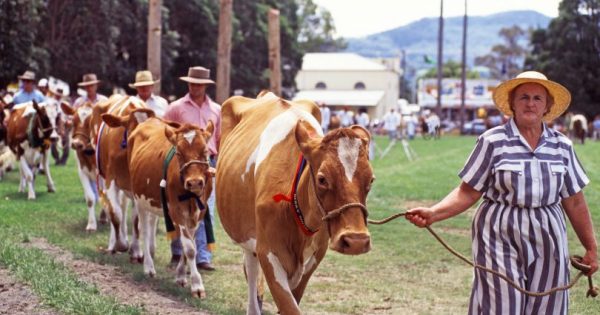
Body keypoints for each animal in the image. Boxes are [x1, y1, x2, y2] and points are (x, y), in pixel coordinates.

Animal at [61, 102, 108, 233]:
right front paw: (91, 224)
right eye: (73, 121)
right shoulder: (82, 171)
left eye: (91, 122)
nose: (76, 143)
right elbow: (90, 198)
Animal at [102, 108, 213, 298]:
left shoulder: (199, 213)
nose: (195, 182)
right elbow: (189, 248)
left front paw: (181, 276)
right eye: (179, 153)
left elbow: (189, 245)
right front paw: (197, 285)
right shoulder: (176, 210)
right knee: (143, 229)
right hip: (140, 199)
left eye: (205, 151)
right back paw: (148, 266)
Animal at [216, 92, 376, 314]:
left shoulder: (316, 254)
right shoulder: (268, 252)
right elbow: (288, 305)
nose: (356, 241)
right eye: (322, 179)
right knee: (251, 274)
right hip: (247, 239)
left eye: (371, 179)